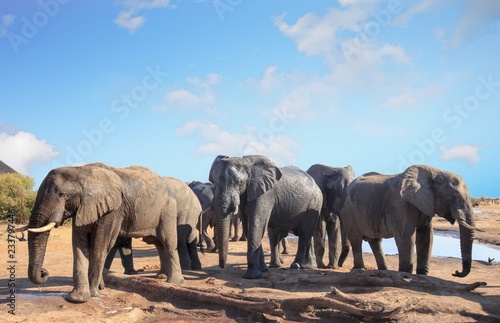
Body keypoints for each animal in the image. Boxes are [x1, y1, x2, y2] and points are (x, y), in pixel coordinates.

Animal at [15, 165, 188, 304]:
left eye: (63, 195)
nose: (44, 272)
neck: (81, 171)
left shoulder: (113, 210)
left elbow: (100, 244)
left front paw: (93, 293)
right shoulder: (84, 207)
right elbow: (79, 244)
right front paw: (77, 298)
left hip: (167, 209)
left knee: (168, 243)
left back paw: (174, 282)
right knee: (158, 244)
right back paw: (161, 277)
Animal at [340, 166, 476, 278]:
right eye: (454, 197)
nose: (456, 272)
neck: (436, 172)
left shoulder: (426, 205)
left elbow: (426, 238)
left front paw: (422, 275)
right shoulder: (400, 206)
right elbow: (405, 237)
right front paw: (405, 273)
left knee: (375, 241)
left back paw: (384, 271)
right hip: (348, 212)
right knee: (356, 239)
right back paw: (360, 269)